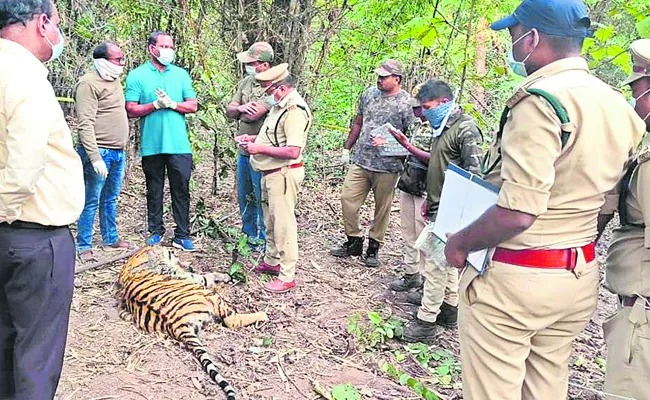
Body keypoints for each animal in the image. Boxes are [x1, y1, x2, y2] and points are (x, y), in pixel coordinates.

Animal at [117, 245, 268, 398]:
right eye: (170, 253)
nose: (177, 256)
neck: (139, 257)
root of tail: (176, 324)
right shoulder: (188, 276)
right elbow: (207, 276)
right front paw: (226, 276)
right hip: (211, 296)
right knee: (232, 320)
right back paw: (263, 314)